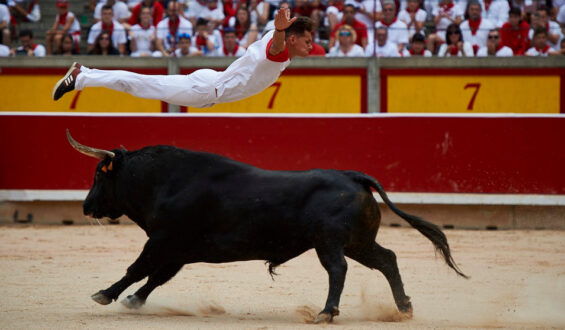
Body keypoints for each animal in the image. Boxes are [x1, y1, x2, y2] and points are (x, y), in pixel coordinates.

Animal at [66, 130, 464, 324]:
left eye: (98, 176)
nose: (86, 206)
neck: (165, 181)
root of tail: (353, 176)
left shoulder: (163, 240)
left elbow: (137, 268)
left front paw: (105, 294)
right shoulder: (179, 249)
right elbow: (156, 277)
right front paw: (133, 300)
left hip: (330, 243)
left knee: (338, 269)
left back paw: (326, 312)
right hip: (359, 242)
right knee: (387, 259)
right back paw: (404, 307)